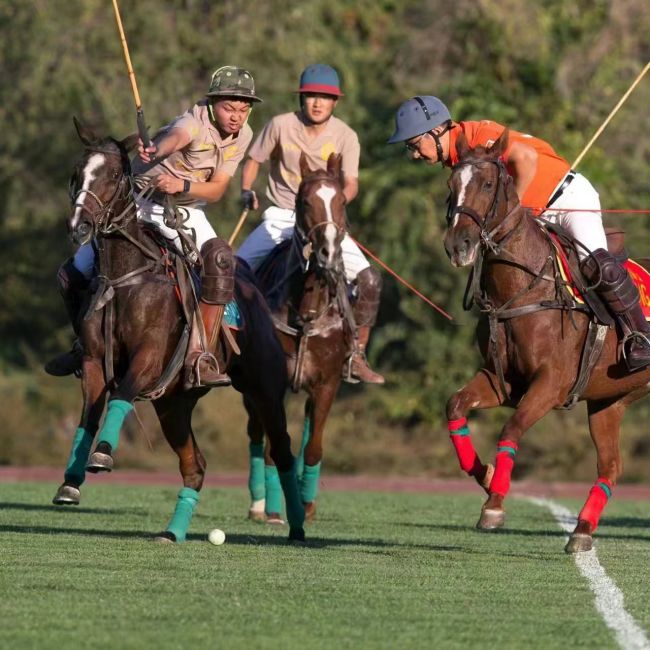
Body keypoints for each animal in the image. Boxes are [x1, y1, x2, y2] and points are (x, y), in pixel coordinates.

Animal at [51, 120, 304, 540]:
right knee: (195, 465)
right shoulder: (92, 360)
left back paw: (297, 525)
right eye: (76, 173)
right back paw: (172, 532)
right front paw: (70, 482)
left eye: (115, 175)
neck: (125, 276)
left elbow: (121, 393)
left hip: (265, 388)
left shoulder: (150, 356)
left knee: (282, 449)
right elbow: (89, 413)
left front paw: (102, 454)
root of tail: (256, 295)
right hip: (175, 404)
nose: (79, 227)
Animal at [244, 153, 380, 520]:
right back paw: (260, 505)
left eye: (342, 201)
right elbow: (275, 447)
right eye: (305, 201)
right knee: (256, 435)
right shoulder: (270, 385)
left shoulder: (326, 384)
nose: (328, 252)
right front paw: (275, 508)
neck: (306, 309)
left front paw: (305, 506)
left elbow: (313, 448)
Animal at [440, 128, 648, 552]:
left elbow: (511, 429)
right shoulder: (500, 379)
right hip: (611, 401)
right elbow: (455, 406)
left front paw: (494, 505)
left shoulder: (551, 385)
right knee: (611, 466)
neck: (521, 289)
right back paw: (581, 531)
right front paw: (486, 475)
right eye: (451, 186)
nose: (458, 246)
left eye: (488, 184)